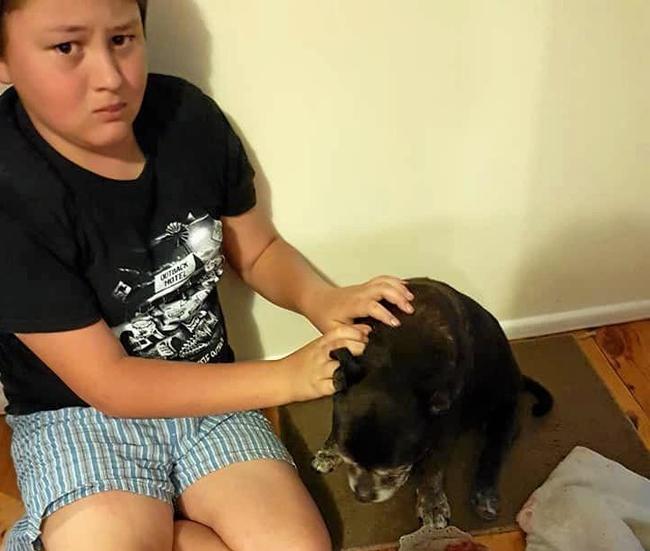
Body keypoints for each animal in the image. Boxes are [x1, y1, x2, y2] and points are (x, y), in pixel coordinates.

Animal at [312, 278, 548, 528]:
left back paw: (484, 493)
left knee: (494, 451)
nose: (363, 495)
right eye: (349, 458)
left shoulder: (445, 427)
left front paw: (431, 503)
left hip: (503, 413)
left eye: (394, 470)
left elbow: (434, 467)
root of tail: (518, 377)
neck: (397, 360)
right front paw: (329, 451)